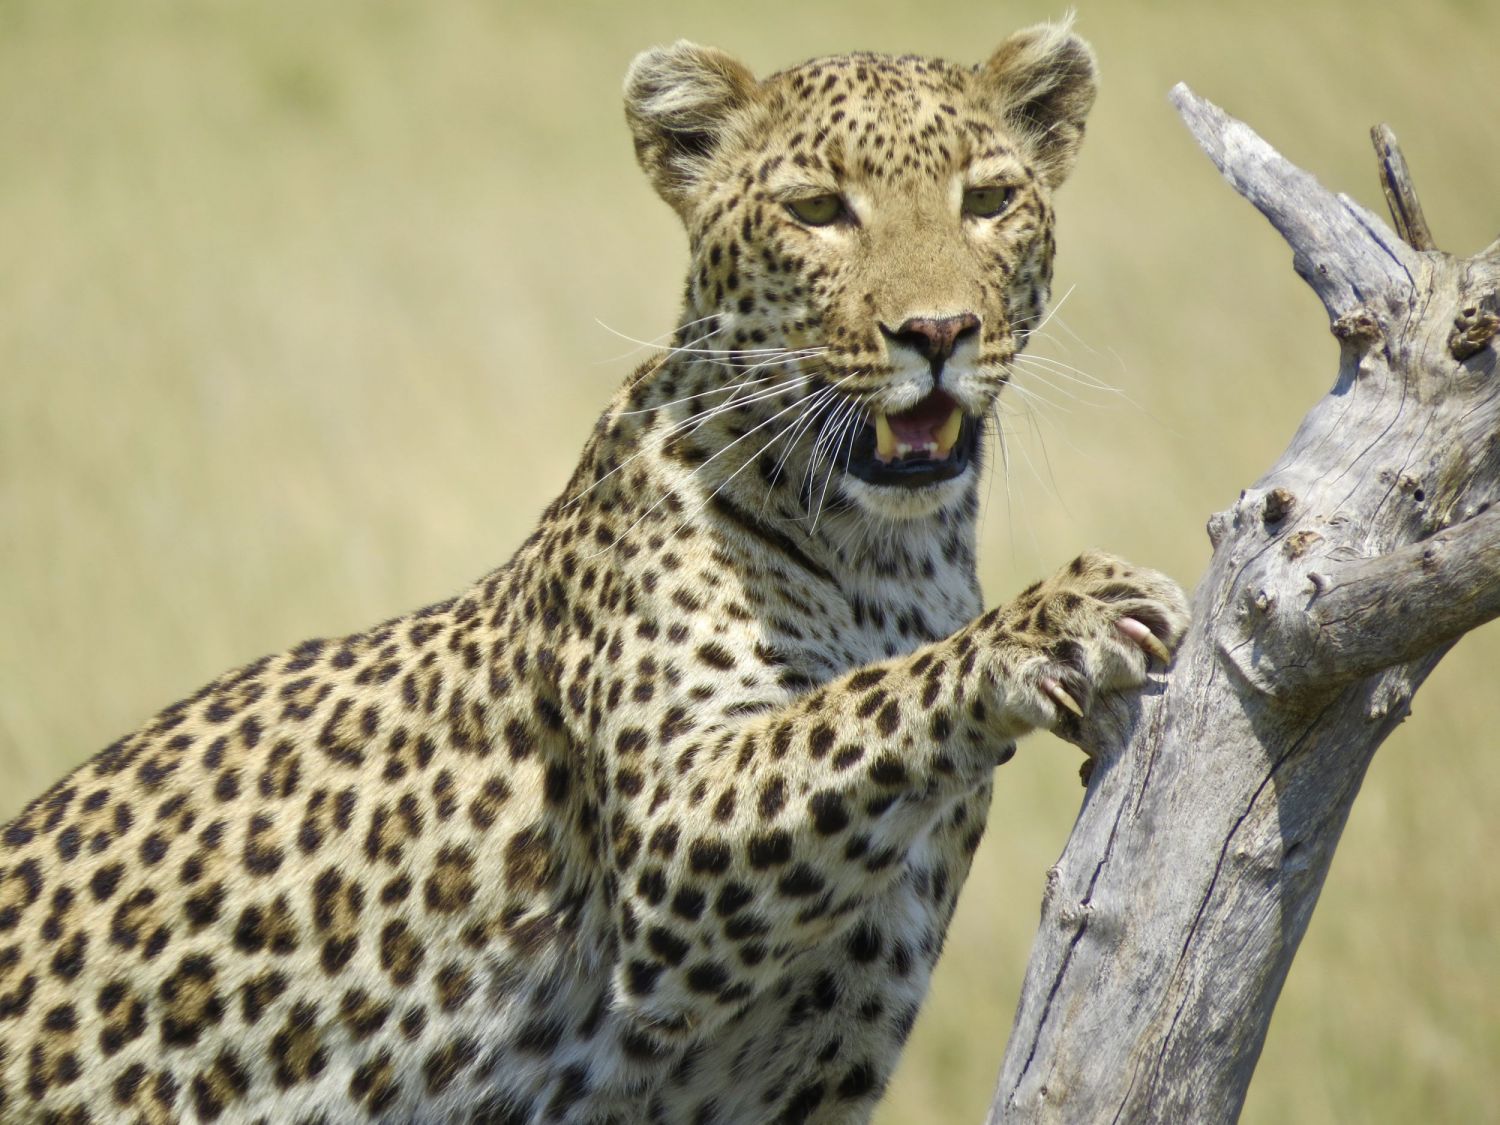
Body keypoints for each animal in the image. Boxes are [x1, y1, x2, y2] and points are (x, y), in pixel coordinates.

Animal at [0, 20, 1190, 1125]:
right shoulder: (672, 832)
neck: (892, 556)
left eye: (988, 200)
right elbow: (858, 706)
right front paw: (1056, 619)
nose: (939, 331)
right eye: (817, 211)